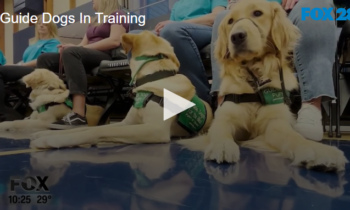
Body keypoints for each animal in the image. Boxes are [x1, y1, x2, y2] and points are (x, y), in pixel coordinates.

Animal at [28, 31, 213, 148]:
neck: (154, 77)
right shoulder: (127, 122)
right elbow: (92, 128)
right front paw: (44, 134)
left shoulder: (154, 130)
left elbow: (99, 131)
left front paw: (50, 141)